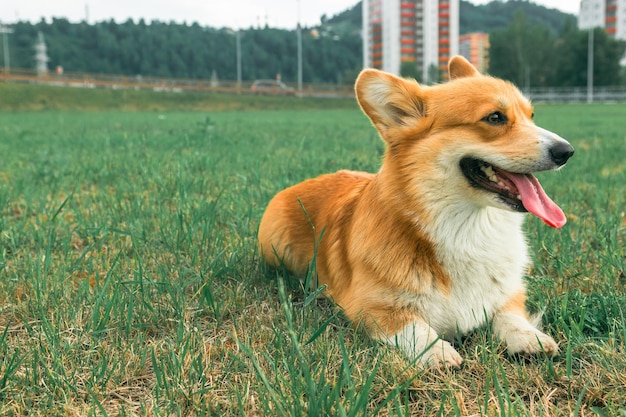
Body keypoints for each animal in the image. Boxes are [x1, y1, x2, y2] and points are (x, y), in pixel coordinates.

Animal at [256, 56, 572, 368]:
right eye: (495, 117)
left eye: (531, 116)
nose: (566, 151)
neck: (467, 229)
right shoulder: (369, 307)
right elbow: (413, 326)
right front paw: (437, 351)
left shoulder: (508, 294)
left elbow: (510, 315)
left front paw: (528, 337)